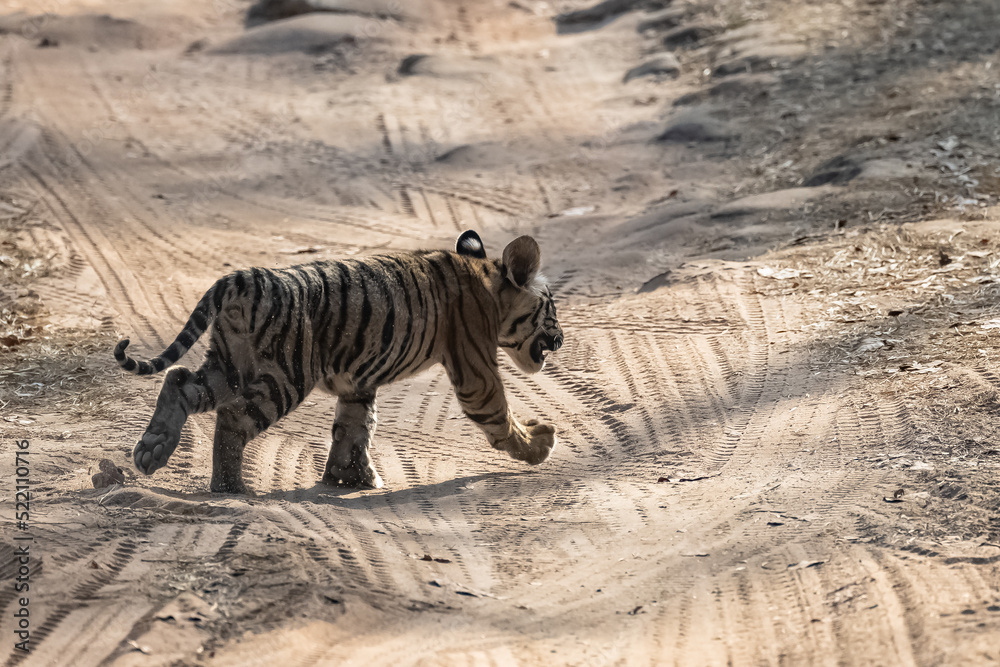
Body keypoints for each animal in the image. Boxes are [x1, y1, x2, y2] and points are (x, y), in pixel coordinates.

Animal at [114, 230, 563, 494]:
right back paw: (230, 487)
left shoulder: (357, 384)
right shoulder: (476, 371)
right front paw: (540, 443)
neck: (489, 281)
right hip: (286, 376)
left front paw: (349, 478)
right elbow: (501, 418)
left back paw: (152, 451)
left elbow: (354, 427)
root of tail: (244, 277)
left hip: (231, 366)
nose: (560, 339)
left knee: (179, 380)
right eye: (553, 309)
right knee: (231, 419)